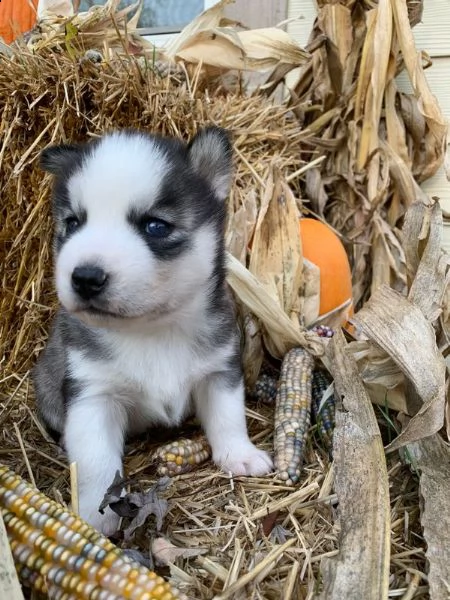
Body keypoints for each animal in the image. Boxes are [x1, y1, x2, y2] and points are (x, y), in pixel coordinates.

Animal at [33, 127, 272, 536]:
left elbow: (228, 417)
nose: (85, 277)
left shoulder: (218, 370)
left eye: (155, 226)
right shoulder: (92, 395)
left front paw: (239, 455)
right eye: (74, 223)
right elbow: (96, 462)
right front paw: (94, 517)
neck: (153, 330)